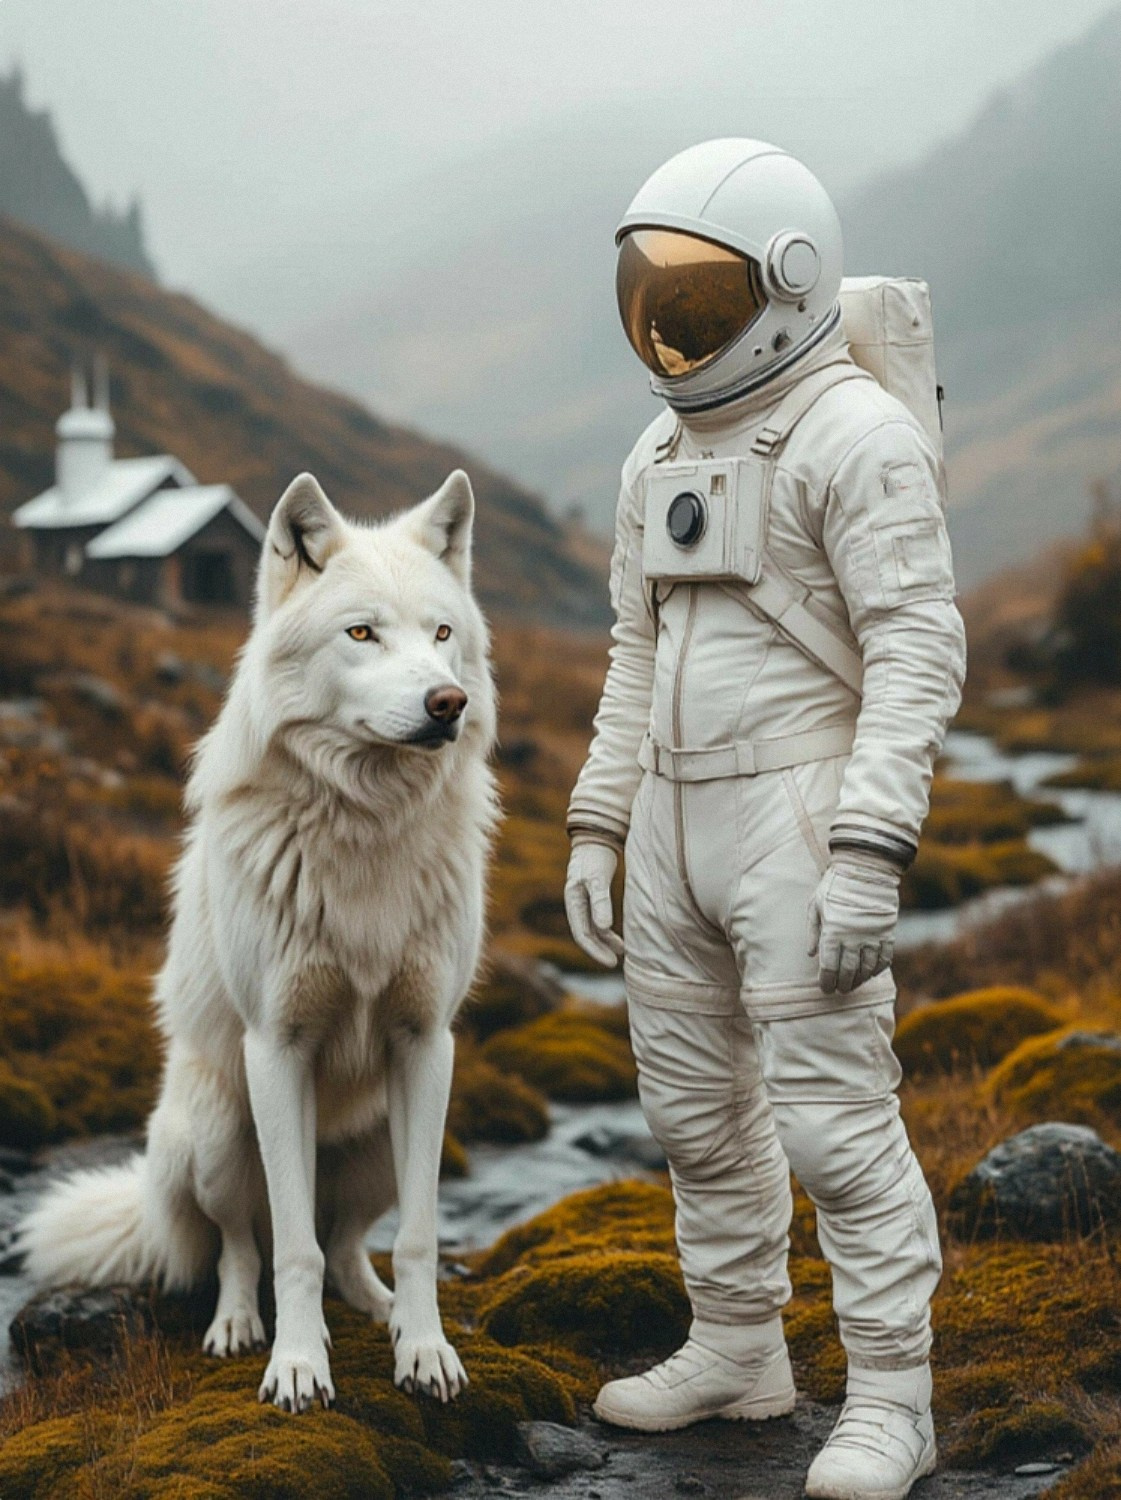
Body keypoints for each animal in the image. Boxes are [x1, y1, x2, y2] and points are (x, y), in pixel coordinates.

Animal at [20, 469, 498, 1412]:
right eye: (362, 632)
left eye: (441, 634)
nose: (447, 704)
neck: (365, 828)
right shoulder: (277, 1047)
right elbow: (291, 1249)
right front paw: (299, 1365)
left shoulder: (426, 1043)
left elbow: (417, 1237)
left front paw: (424, 1351)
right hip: (213, 1134)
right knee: (245, 1244)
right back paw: (238, 1326)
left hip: (387, 1142)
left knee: (350, 1244)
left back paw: (379, 1309)